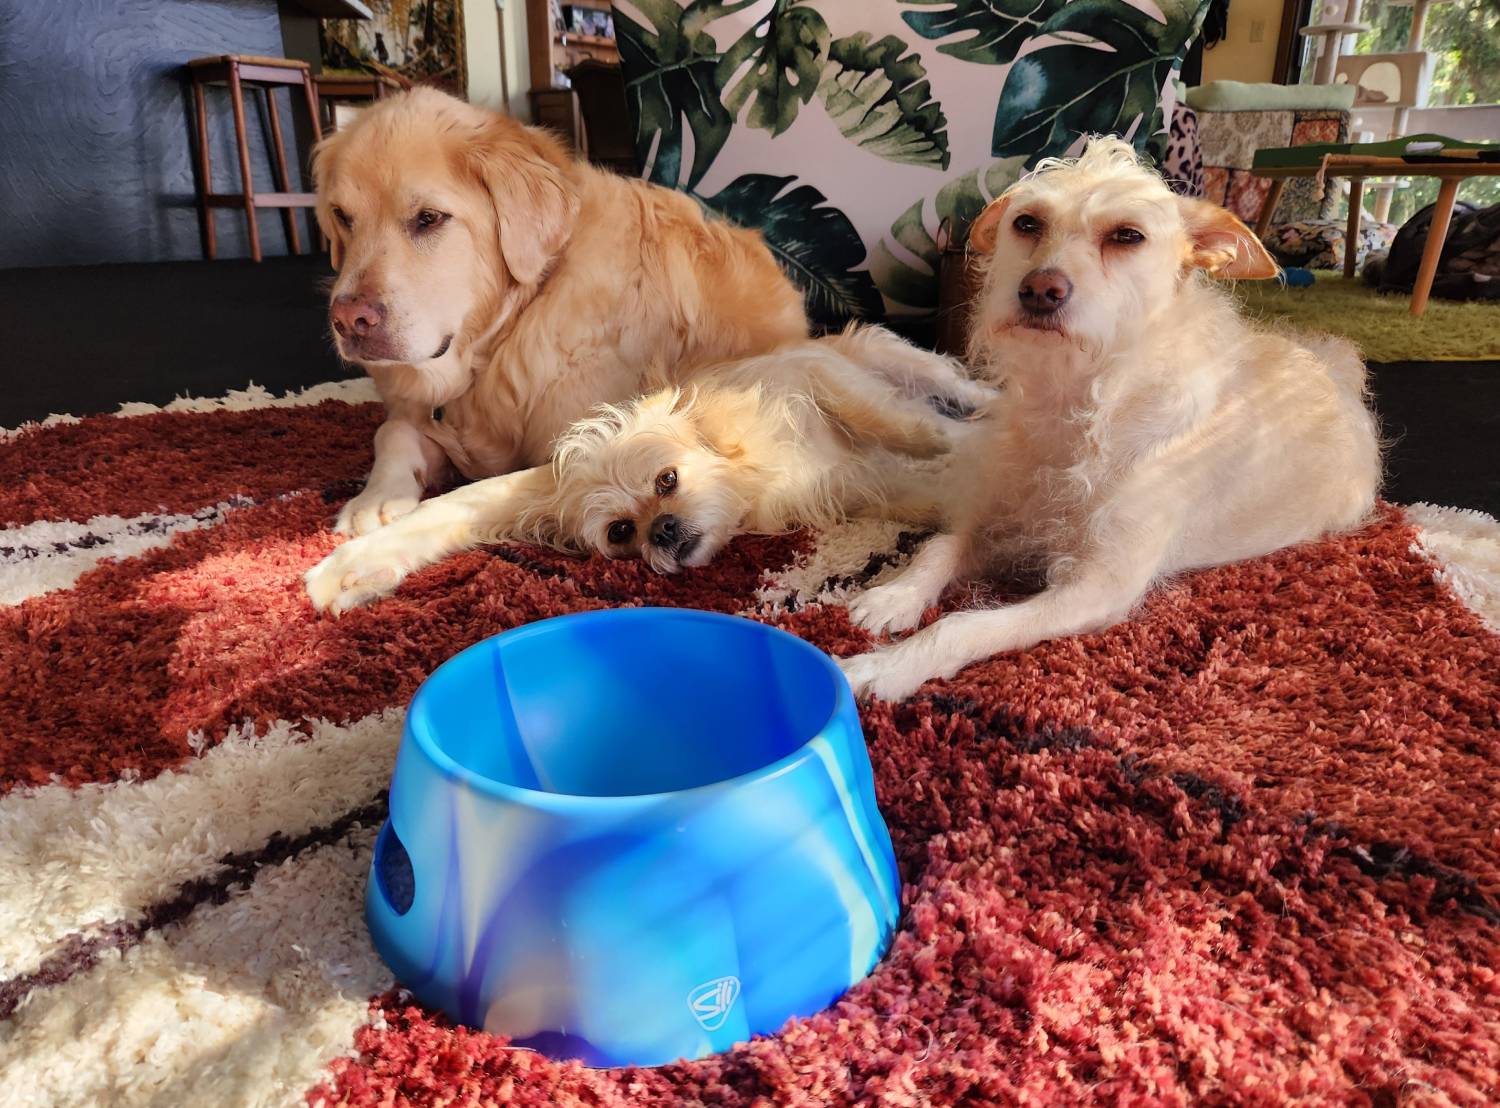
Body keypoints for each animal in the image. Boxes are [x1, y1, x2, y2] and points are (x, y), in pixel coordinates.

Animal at [303, 326, 984, 614]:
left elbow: (911, 428)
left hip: (901, 363)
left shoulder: (817, 377)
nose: (662, 530)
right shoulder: (865, 484)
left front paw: (965, 443)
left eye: (667, 482)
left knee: (956, 389)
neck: (750, 477)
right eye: (621, 533)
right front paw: (352, 570)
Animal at [313, 85, 810, 533]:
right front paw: (375, 498)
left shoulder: (586, 444)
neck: (506, 336)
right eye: (342, 216)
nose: (348, 320)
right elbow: (392, 430)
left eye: (429, 218)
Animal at [840, 134, 1374, 698]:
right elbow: (941, 546)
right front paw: (894, 595)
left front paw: (887, 667)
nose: (1039, 289)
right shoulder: (1001, 520)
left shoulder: (1099, 586)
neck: (1081, 396)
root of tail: (1338, 371)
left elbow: (961, 626)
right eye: (1027, 223)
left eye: (1127, 236)